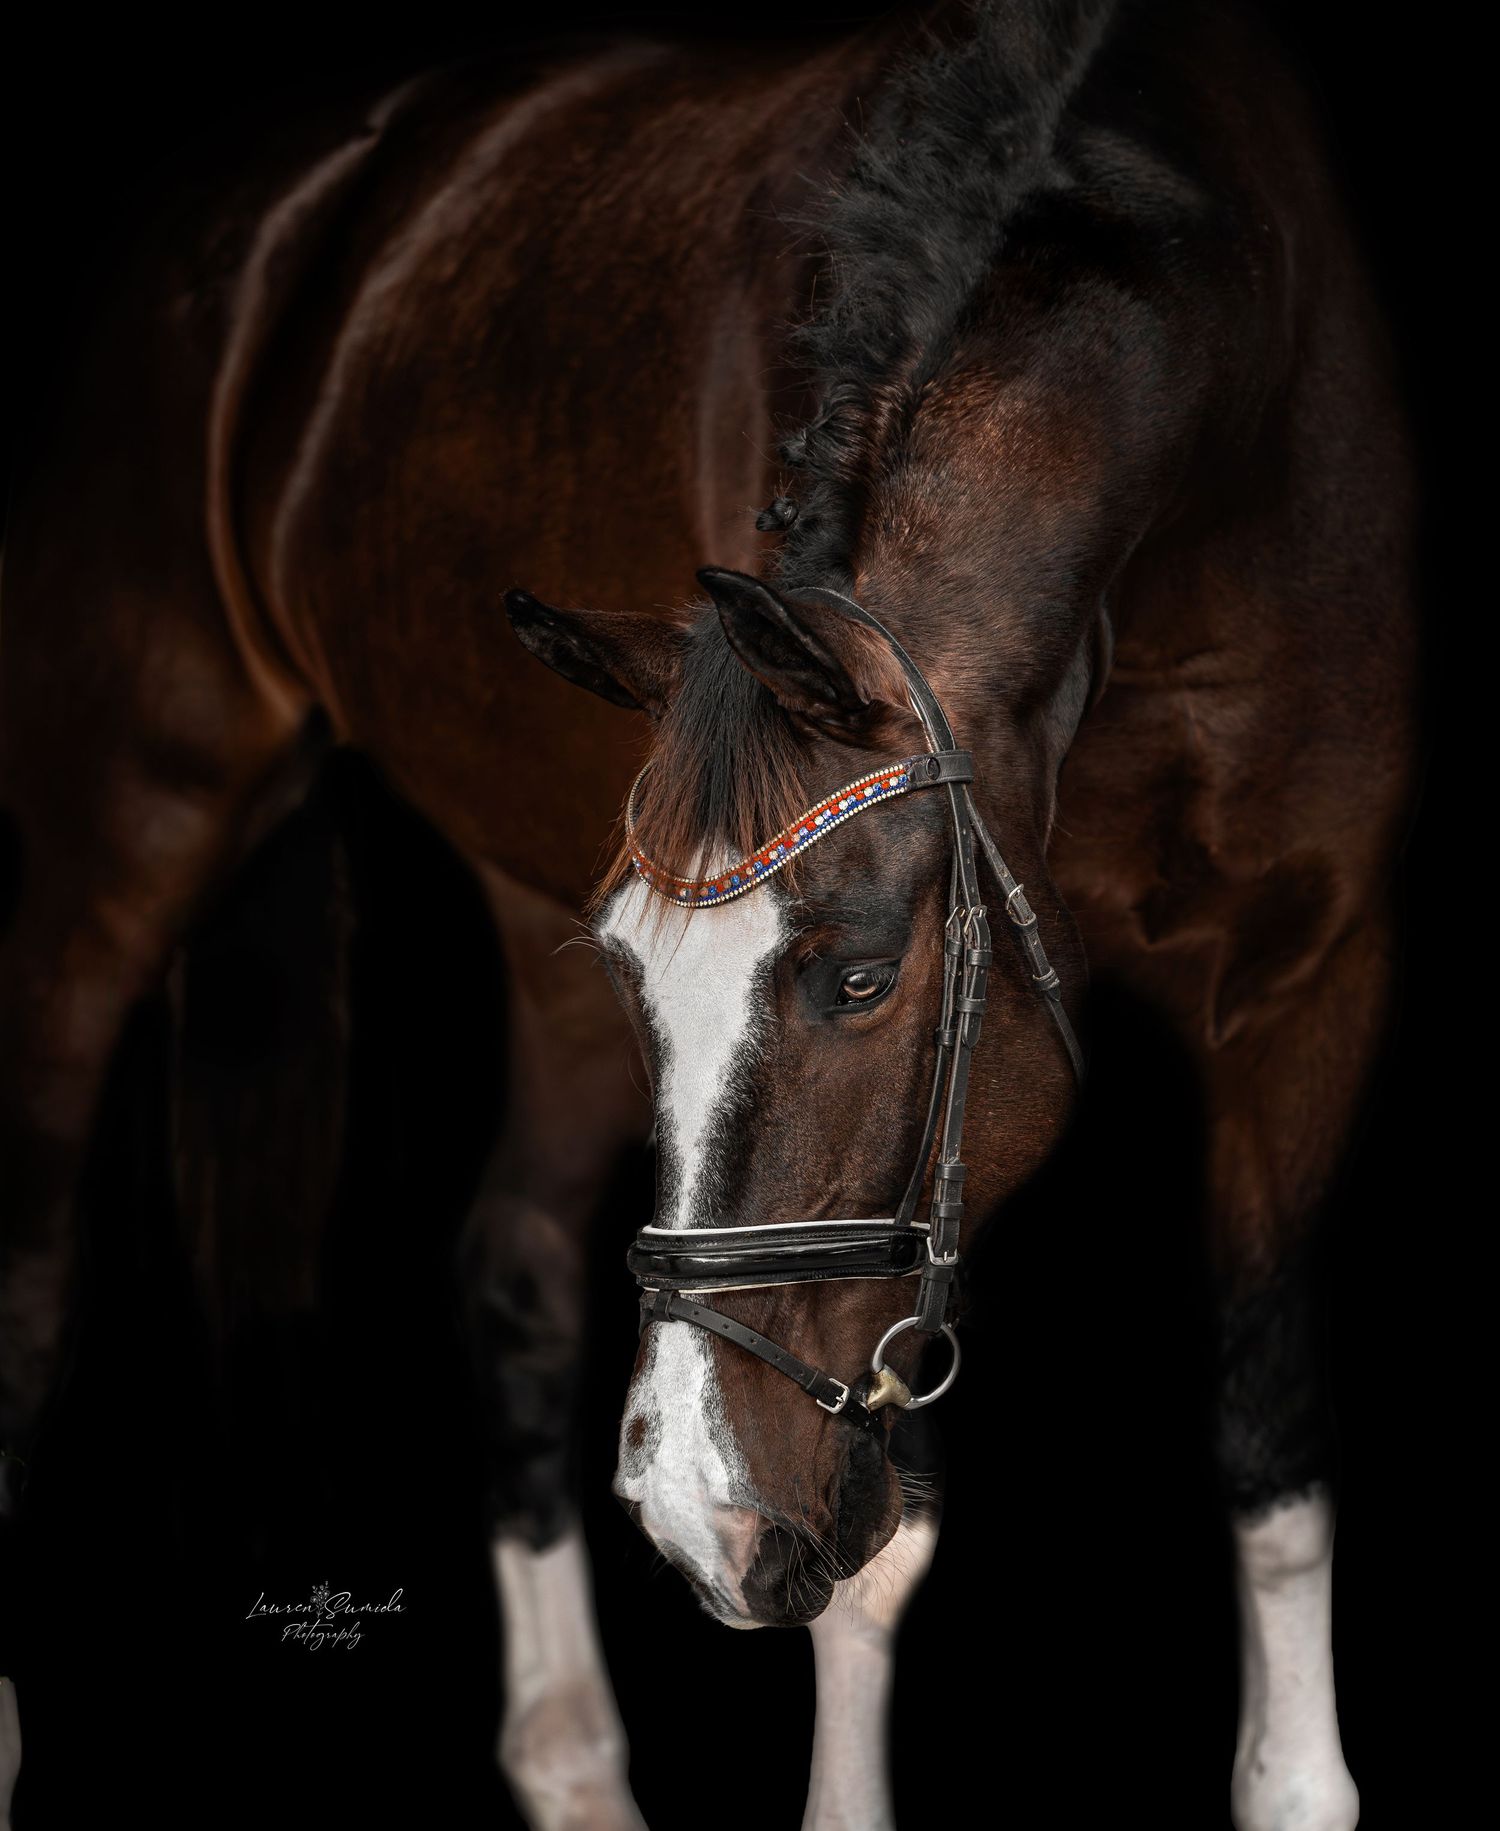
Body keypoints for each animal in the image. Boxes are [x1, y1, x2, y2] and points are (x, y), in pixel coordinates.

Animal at [0, 2, 1416, 1826]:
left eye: (865, 977)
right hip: (111, 849)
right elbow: (875, 1572)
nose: (689, 1504)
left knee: (512, 1269)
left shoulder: (1310, 977)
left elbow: (1269, 1439)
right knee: (33, 1288)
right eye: (651, 980)